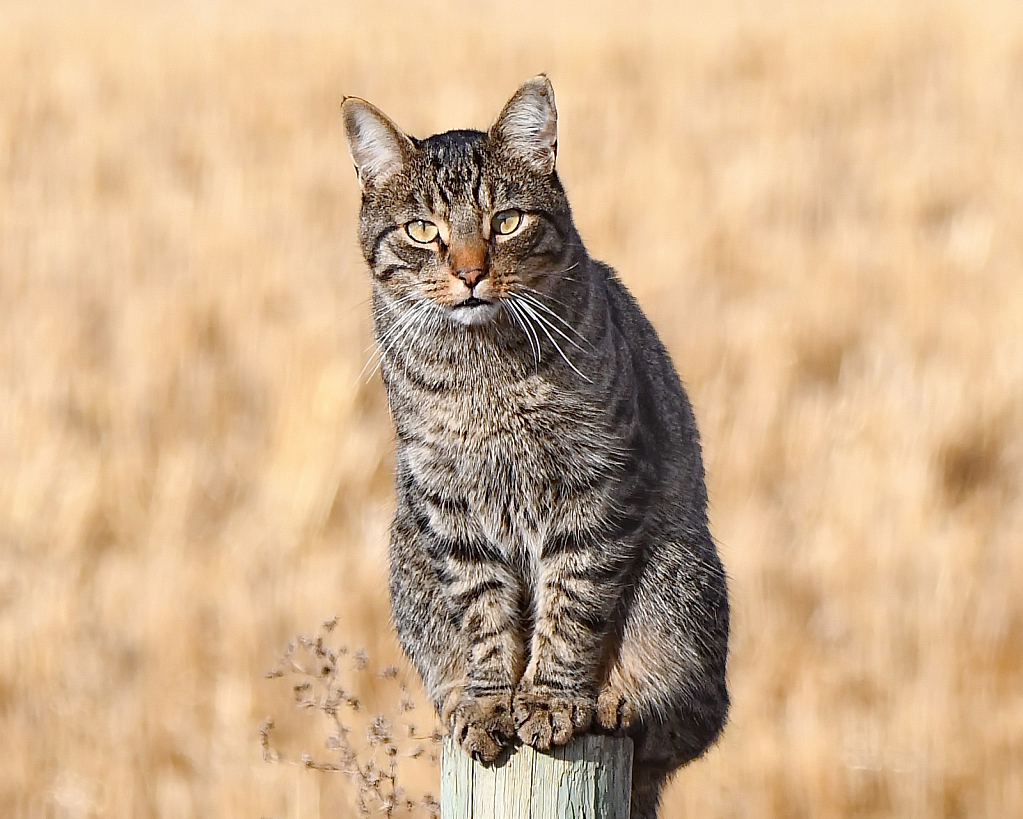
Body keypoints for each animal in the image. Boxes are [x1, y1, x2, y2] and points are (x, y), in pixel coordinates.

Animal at [341, 76, 728, 817]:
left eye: (507, 222)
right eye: (422, 230)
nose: (469, 273)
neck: (483, 363)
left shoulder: (594, 485)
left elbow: (571, 604)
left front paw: (550, 697)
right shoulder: (449, 504)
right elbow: (484, 614)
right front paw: (492, 701)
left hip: (679, 577)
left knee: (687, 720)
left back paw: (615, 701)